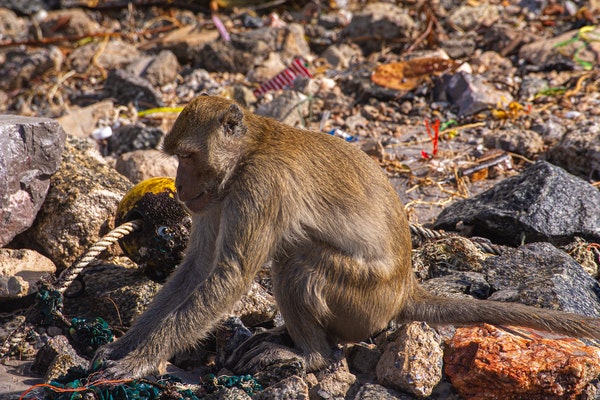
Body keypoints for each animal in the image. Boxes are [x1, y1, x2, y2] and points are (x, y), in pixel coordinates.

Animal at [91, 94, 600, 378]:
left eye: (188, 156)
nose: (179, 187)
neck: (249, 149)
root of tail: (405, 290)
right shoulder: (217, 197)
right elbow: (195, 269)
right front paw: (126, 345)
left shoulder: (258, 186)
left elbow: (228, 277)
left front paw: (141, 359)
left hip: (365, 301)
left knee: (296, 265)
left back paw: (313, 357)